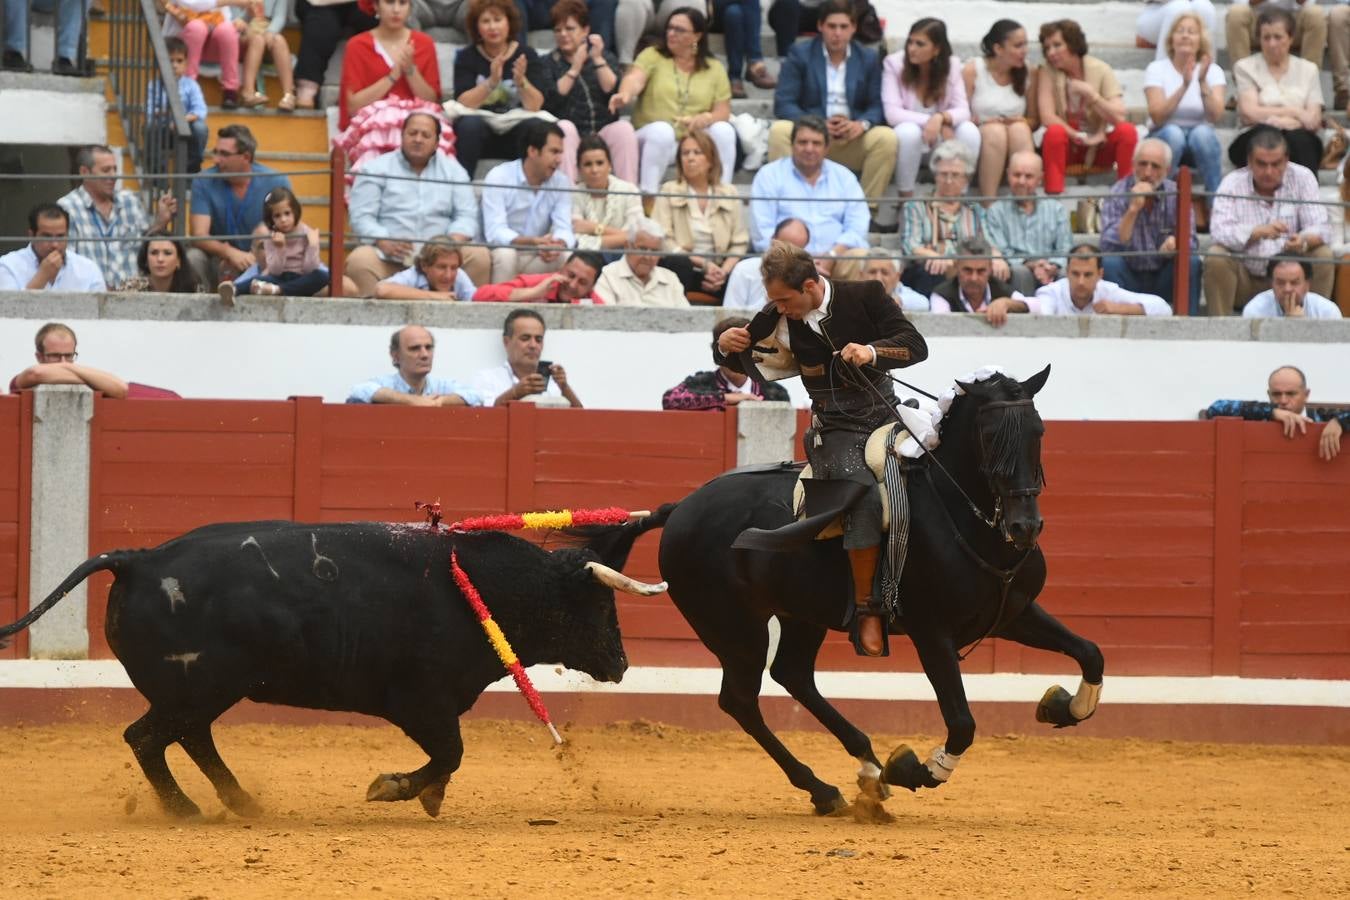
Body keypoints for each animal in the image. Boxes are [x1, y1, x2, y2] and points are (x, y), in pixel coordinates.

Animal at [0, 518, 664, 820]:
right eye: (600, 604)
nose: (622, 663)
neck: (479, 586)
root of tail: (138, 559)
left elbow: (450, 757)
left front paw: (425, 796)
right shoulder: (421, 702)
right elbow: (451, 752)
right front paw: (397, 788)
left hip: (201, 693)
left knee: (185, 739)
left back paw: (241, 802)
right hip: (198, 689)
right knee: (147, 738)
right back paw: (187, 810)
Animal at [653, 367, 1107, 814]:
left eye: (1038, 431)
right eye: (989, 435)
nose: (1024, 526)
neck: (959, 512)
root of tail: (680, 508)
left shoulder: (1012, 613)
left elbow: (1090, 652)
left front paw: (1063, 705)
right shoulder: (932, 633)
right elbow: (962, 722)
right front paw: (911, 769)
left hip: (800, 614)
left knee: (792, 674)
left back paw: (863, 768)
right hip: (733, 629)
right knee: (741, 700)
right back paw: (825, 787)